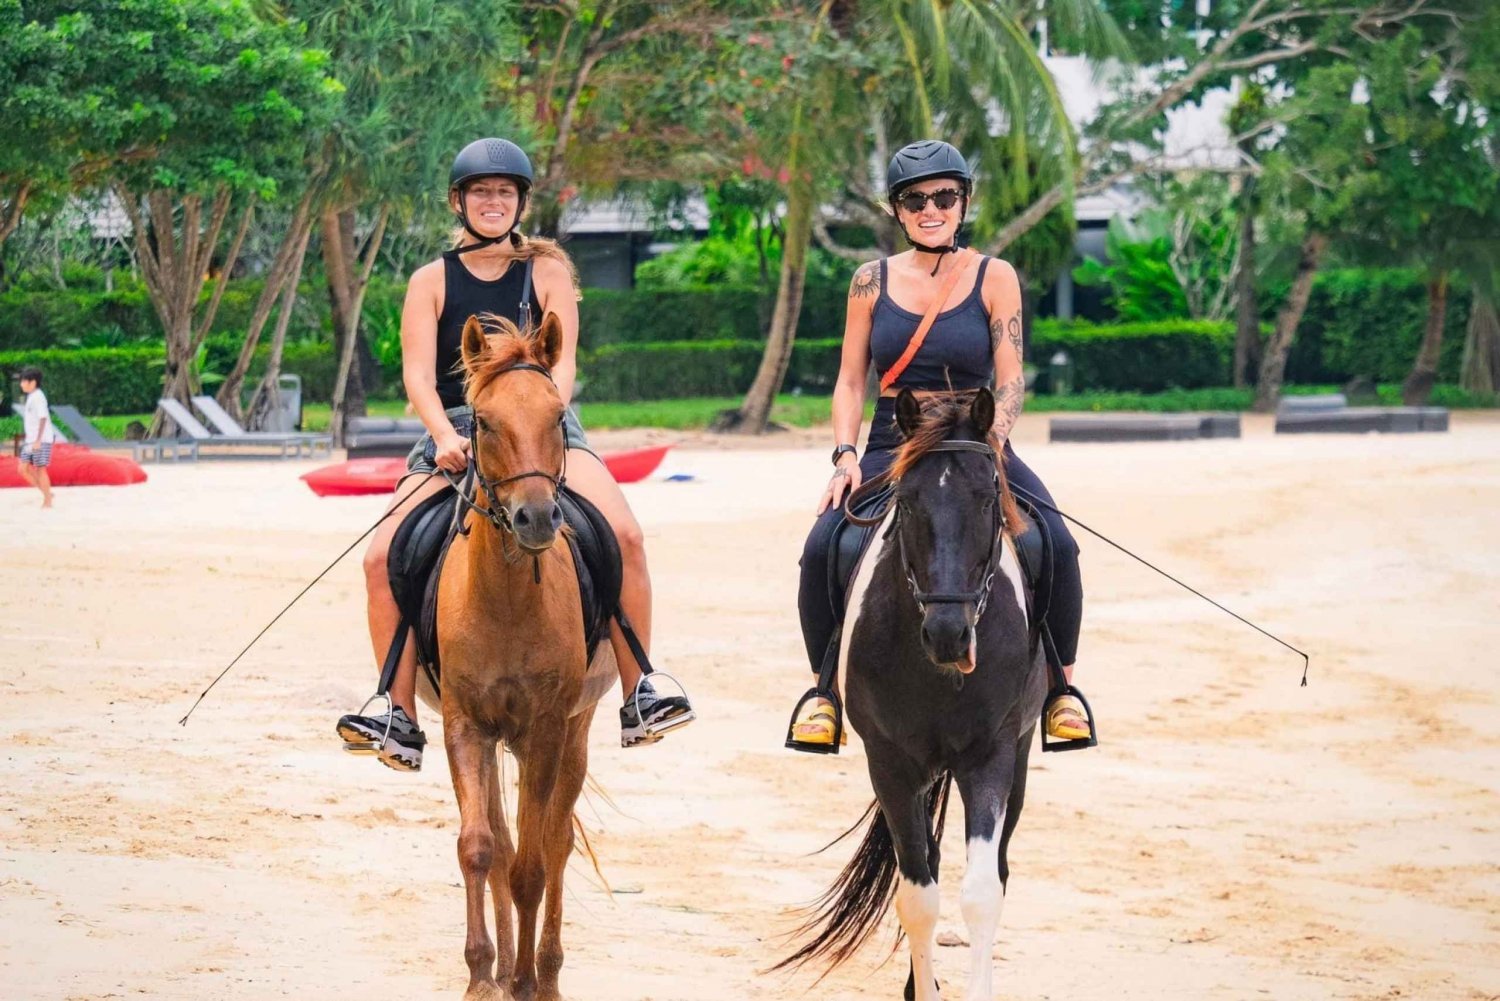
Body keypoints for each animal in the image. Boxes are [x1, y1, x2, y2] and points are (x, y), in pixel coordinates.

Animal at [429, 313, 621, 1001]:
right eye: (483, 422)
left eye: (558, 414)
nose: (536, 517)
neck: (508, 597)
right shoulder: (465, 727)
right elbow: (481, 850)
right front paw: (483, 974)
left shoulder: (544, 730)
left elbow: (534, 867)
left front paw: (525, 982)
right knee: (507, 841)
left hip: (576, 729)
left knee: (556, 841)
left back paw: (546, 973)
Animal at [780, 390, 1050, 1001]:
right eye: (905, 502)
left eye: (987, 499)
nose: (949, 634)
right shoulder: (891, 763)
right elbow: (918, 895)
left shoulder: (991, 755)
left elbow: (981, 892)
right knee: (926, 861)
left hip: (1018, 756)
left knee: (995, 867)